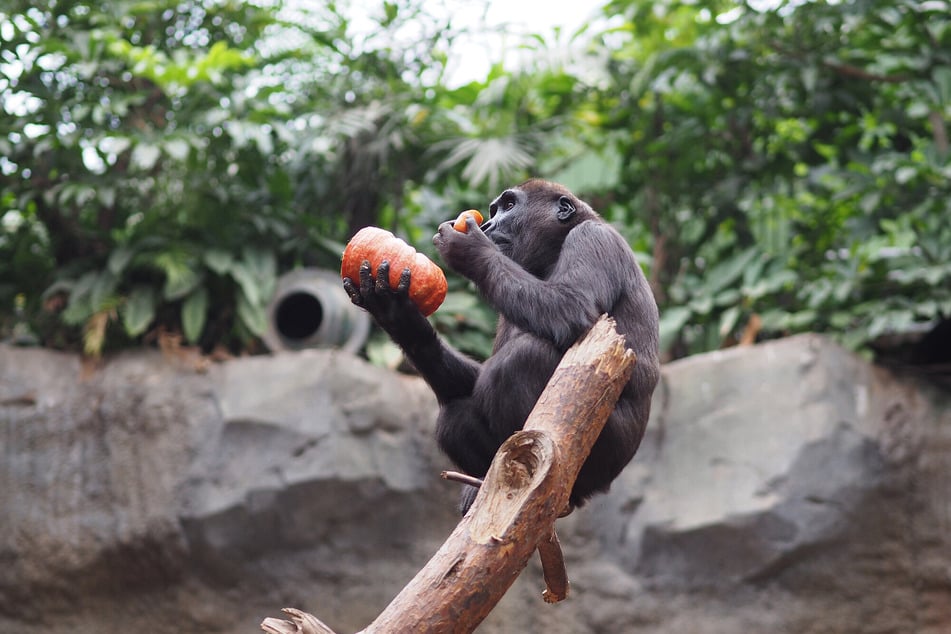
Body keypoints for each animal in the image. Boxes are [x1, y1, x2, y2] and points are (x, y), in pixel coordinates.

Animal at [344, 179, 660, 512]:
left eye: (509, 206)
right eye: (494, 210)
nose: (489, 225)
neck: (557, 245)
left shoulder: (592, 239)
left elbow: (573, 307)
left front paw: (470, 250)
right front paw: (401, 319)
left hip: (602, 461)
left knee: (522, 359)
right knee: (455, 416)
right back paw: (486, 479)